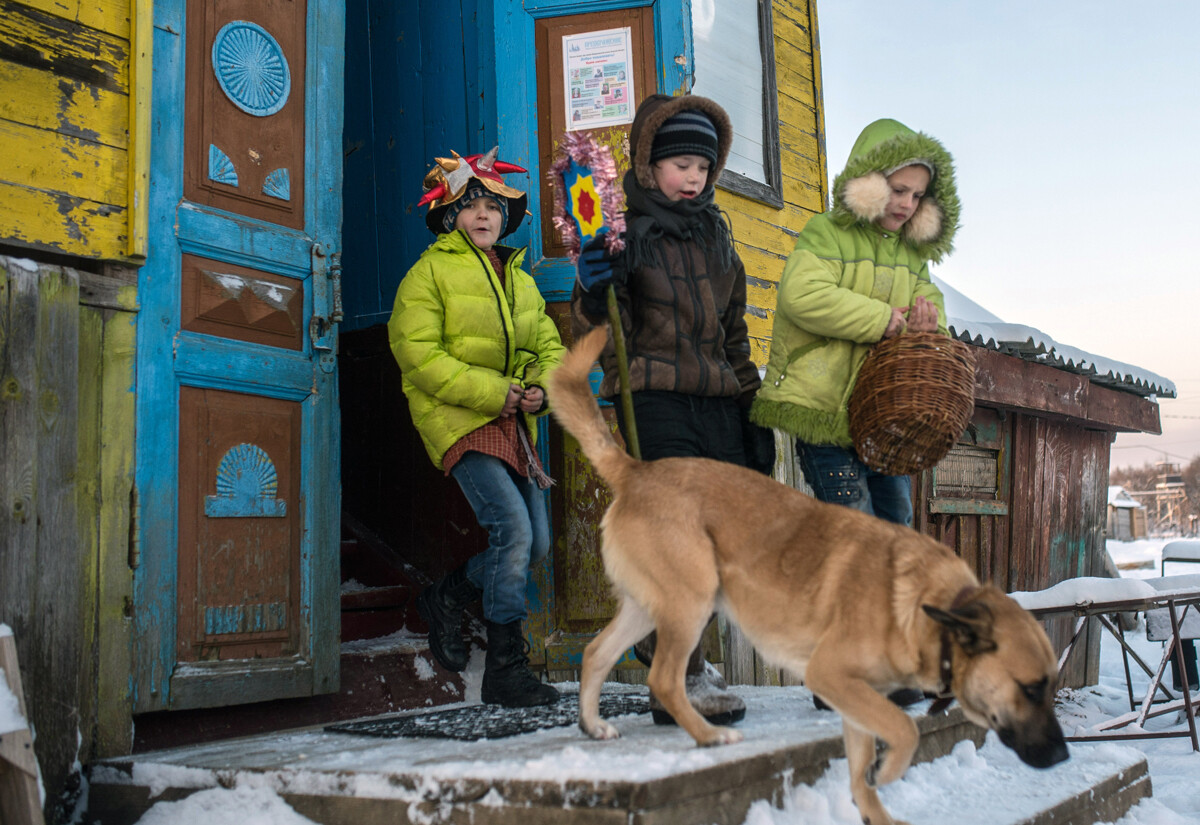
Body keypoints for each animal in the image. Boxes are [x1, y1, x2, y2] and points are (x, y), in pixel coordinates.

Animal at [549, 326, 1065, 825]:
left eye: (1051, 686)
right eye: (1030, 688)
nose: (1062, 757)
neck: (928, 607)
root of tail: (636, 471)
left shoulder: (855, 697)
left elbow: (862, 770)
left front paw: (877, 805)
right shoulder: (830, 675)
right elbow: (903, 729)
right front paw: (890, 769)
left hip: (649, 607)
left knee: (596, 653)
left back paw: (593, 725)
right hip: (690, 604)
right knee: (663, 680)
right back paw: (708, 735)